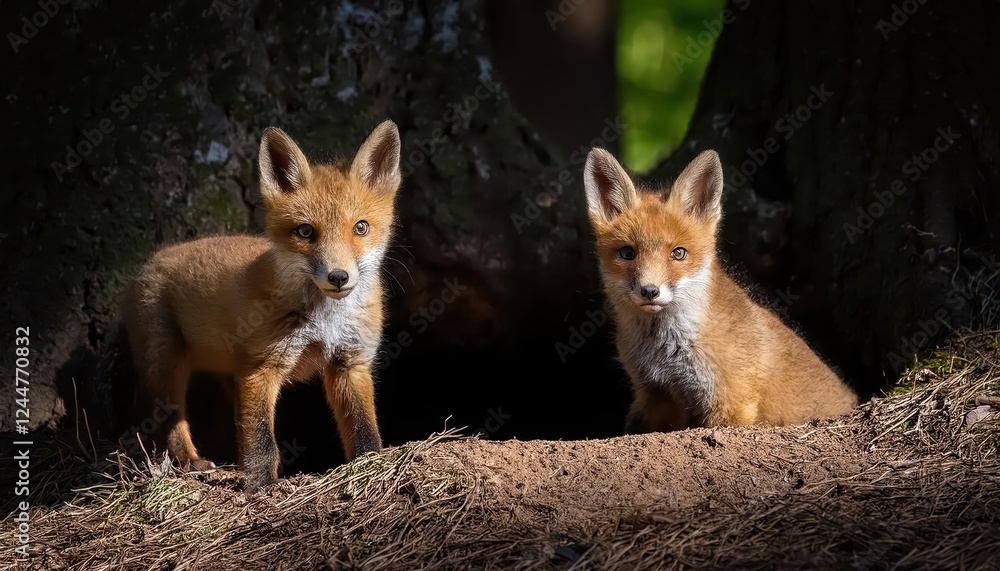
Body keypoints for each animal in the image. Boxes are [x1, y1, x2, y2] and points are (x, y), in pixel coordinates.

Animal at [123, 120, 402, 491]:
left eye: (361, 227)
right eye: (305, 232)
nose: (339, 276)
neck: (325, 319)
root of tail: (151, 260)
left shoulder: (350, 362)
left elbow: (363, 428)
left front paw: (369, 466)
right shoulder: (261, 365)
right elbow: (261, 438)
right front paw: (260, 484)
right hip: (168, 360)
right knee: (170, 417)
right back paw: (189, 460)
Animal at [583, 148, 857, 433]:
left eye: (678, 253)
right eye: (627, 253)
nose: (649, 291)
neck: (666, 354)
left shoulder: (731, 403)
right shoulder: (653, 394)